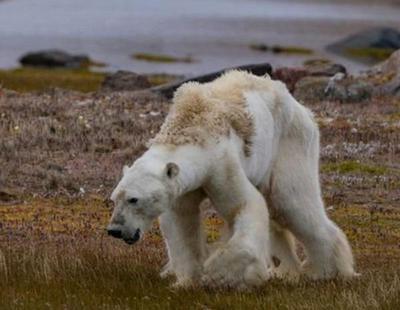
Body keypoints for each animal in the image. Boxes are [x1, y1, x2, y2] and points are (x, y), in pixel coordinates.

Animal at [107, 70, 356, 288]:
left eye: (133, 199)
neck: (191, 128)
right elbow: (181, 222)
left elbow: (244, 205)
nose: (114, 230)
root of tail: (301, 107)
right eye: (114, 198)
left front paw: (220, 274)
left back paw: (325, 271)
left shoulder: (221, 164)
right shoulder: (182, 188)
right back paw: (285, 271)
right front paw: (186, 281)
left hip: (289, 143)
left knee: (291, 202)